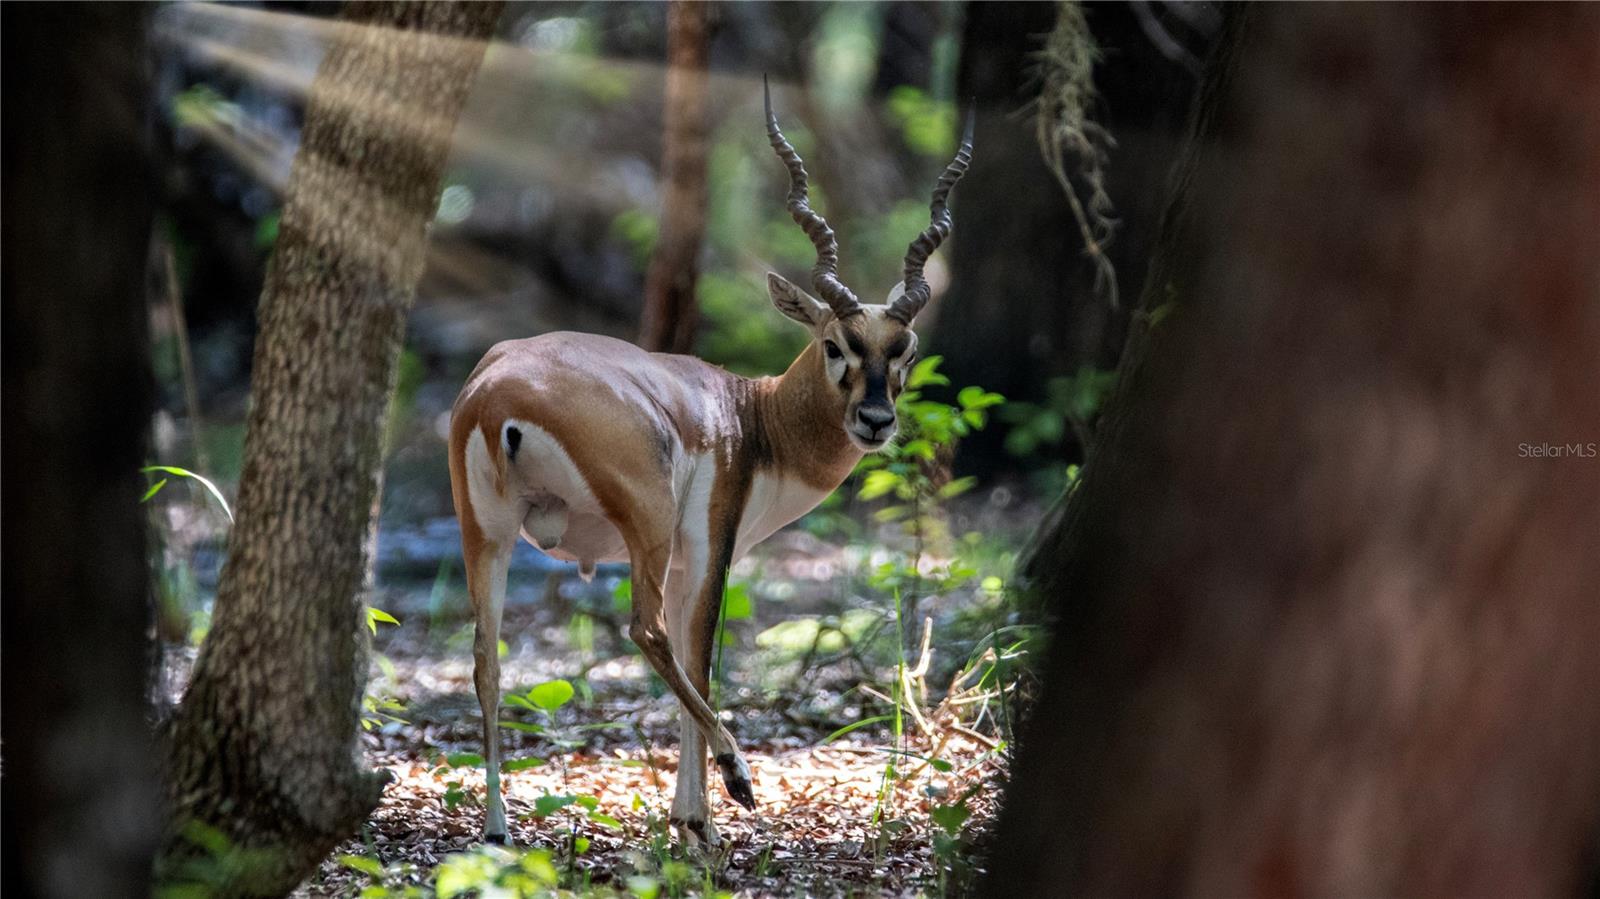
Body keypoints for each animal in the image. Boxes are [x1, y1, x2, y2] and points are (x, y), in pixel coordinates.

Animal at [451, 80, 972, 844]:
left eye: (902, 347)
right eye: (835, 343)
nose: (875, 421)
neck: (750, 417)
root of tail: (498, 394)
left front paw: (685, 817)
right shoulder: (707, 543)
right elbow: (700, 654)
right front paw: (699, 819)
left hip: (485, 534)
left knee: (486, 661)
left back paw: (496, 830)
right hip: (646, 523)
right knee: (648, 630)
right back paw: (738, 776)